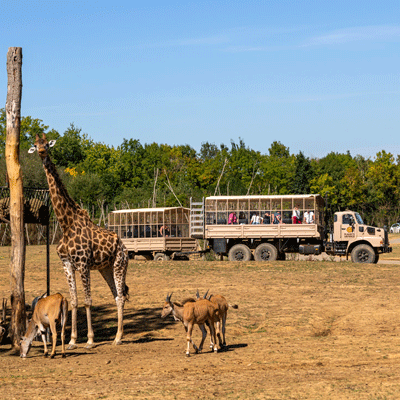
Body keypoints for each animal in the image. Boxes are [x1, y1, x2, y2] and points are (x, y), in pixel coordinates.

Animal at [28, 133, 128, 348]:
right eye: (35, 145)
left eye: (47, 144)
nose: (42, 152)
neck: (66, 224)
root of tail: (124, 247)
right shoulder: (67, 264)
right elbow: (74, 301)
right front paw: (73, 340)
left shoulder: (83, 263)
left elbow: (88, 301)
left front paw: (90, 340)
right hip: (105, 268)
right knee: (117, 295)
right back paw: (116, 336)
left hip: (120, 265)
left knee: (121, 297)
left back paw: (118, 337)